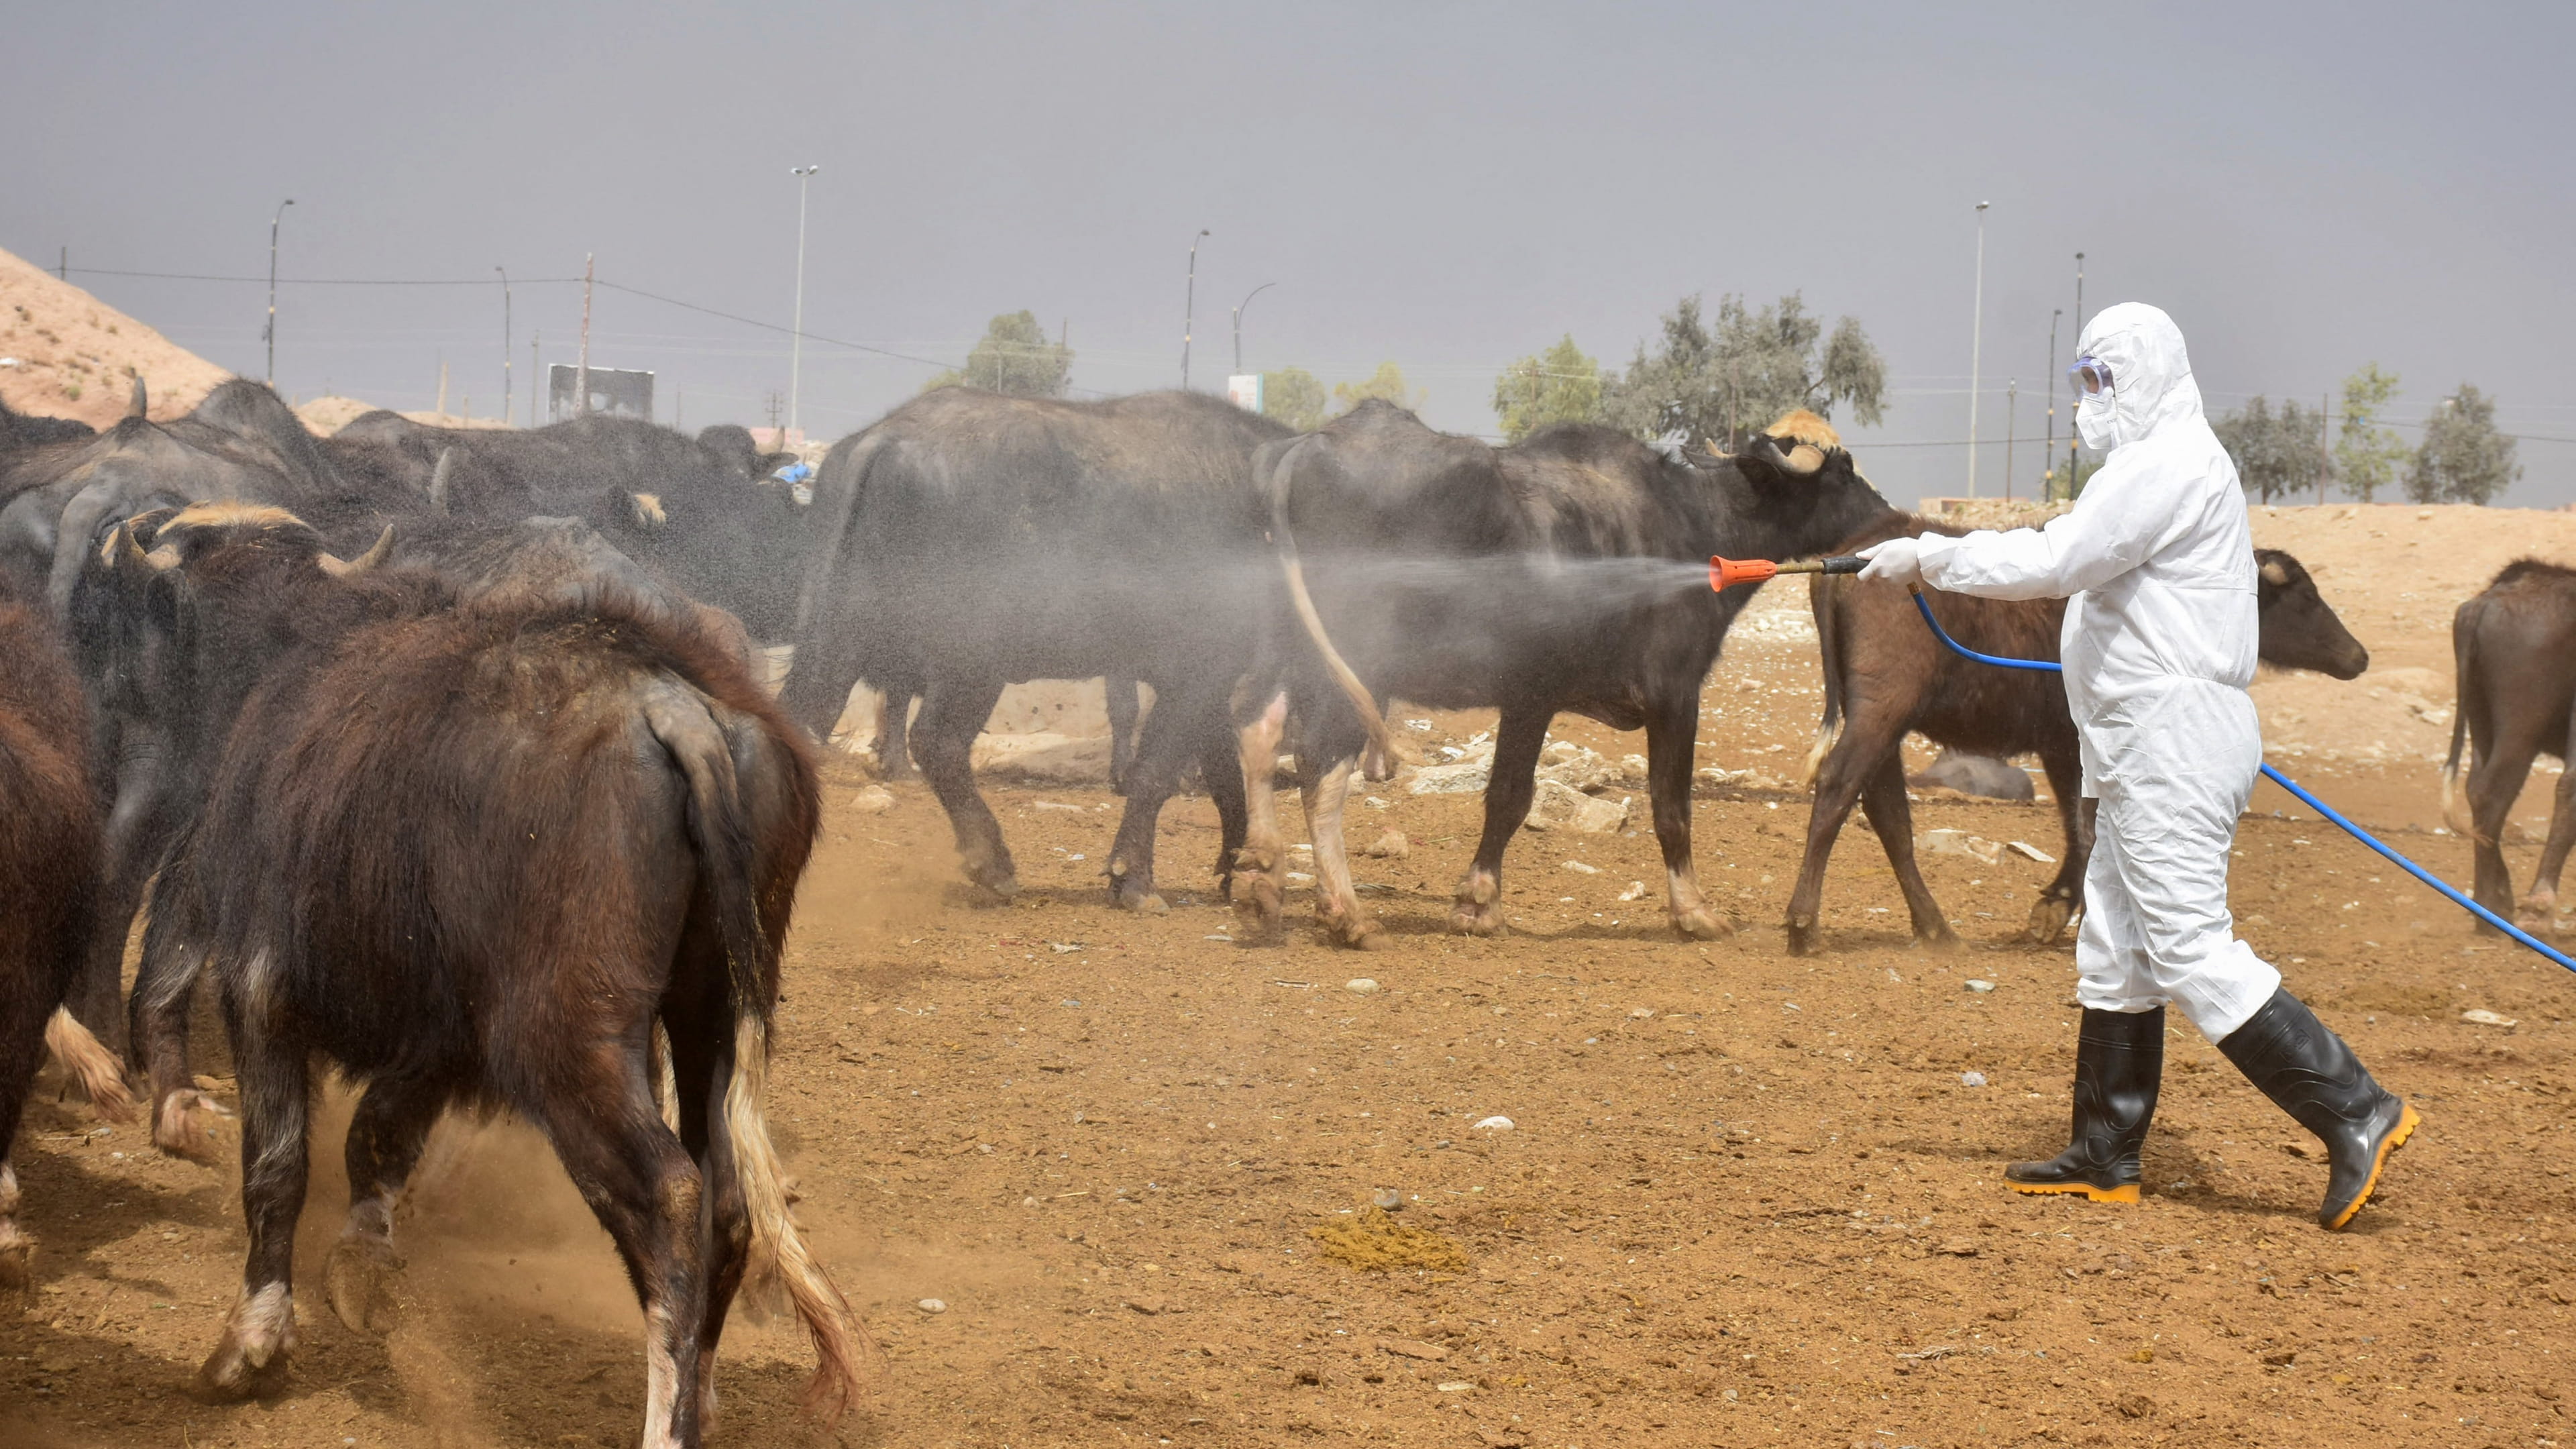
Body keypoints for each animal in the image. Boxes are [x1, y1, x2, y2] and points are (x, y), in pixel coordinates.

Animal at [95, 505, 860, 1433]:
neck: (280, 661)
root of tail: (675, 708)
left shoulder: (261, 989)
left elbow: (278, 1167)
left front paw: (251, 1342)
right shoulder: (442, 1037)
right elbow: (378, 1138)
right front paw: (360, 1266)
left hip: (568, 1044)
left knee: (669, 1197)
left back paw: (666, 1419)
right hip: (712, 1014)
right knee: (727, 1200)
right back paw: (702, 1397)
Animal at [773, 384, 1277, 902]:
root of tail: (890, 435)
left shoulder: (1210, 681)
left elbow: (1223, 769)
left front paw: (1234, 865)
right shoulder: (1199, 670)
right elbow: (1158, 771)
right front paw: (1134, 878)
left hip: (836, 636)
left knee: (800, 721)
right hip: (973, 661)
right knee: (938, 743)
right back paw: (992, 863)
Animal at [1236, 399, 1885, 943]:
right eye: (1843, 471)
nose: (1890, 513)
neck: (1695, 526)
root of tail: (1310, 445)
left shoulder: (1532, 700)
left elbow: (1507, 797)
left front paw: (1477, 901)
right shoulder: (1662, 695)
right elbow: (1654, 805)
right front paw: (1693, 911)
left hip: (1286, 652)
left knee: (1256, 730)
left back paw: (1265, 874)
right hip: (1355, 670)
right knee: (1321, 770)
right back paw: (1345, 913)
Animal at [1792, 513, 2369, 954]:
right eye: (2304, 595)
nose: (2359, 656)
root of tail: (1848, 560)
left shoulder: (2060, 748)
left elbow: (2079, 828)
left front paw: (2055, 908)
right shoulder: (2083, 743)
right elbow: (2091, 828)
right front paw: (2074, 914)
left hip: (1884, 722)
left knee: (1887, 812)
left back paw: (1936, 929)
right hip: (1881, 710)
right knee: (1840, 784)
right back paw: (1803, 922)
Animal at [2431, 551, 2576, 922]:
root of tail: (2487, 601)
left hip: (2482, 719)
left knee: (2478, 793)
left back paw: (2491, 907)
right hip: (2520, 727)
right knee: (2499, 792)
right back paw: (2526, 907)